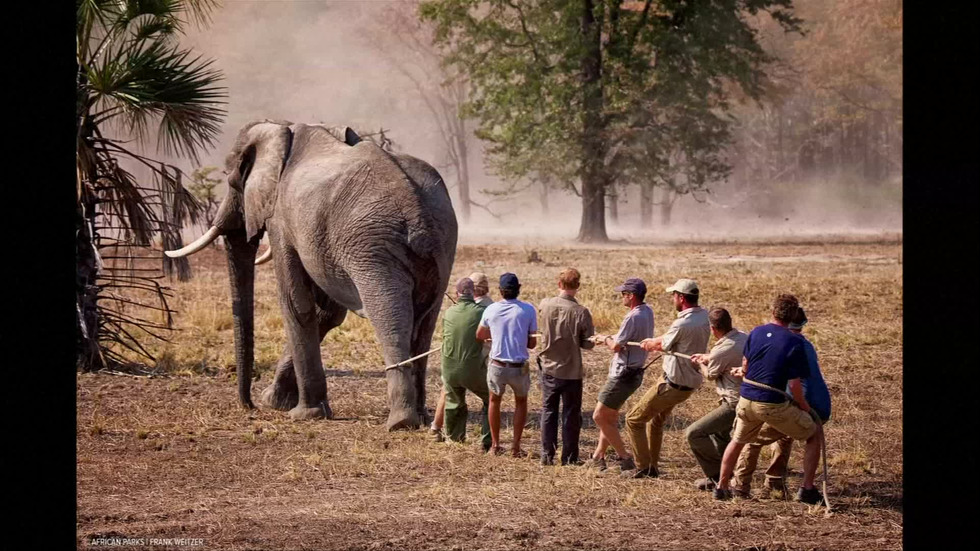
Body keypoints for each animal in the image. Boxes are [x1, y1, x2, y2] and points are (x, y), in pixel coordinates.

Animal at [167, 122, 458, 432]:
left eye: (232, 179)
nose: (248, 405)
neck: (283, 130)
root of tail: (417, 209)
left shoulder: (281, 219)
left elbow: (296, 304)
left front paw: (303, 414)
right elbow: (326, 313)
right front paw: (274, 401)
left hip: (373, 249)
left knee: (390, 316)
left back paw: (400, 422)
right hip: (441, 244)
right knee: (424, 322)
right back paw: (421, 417)